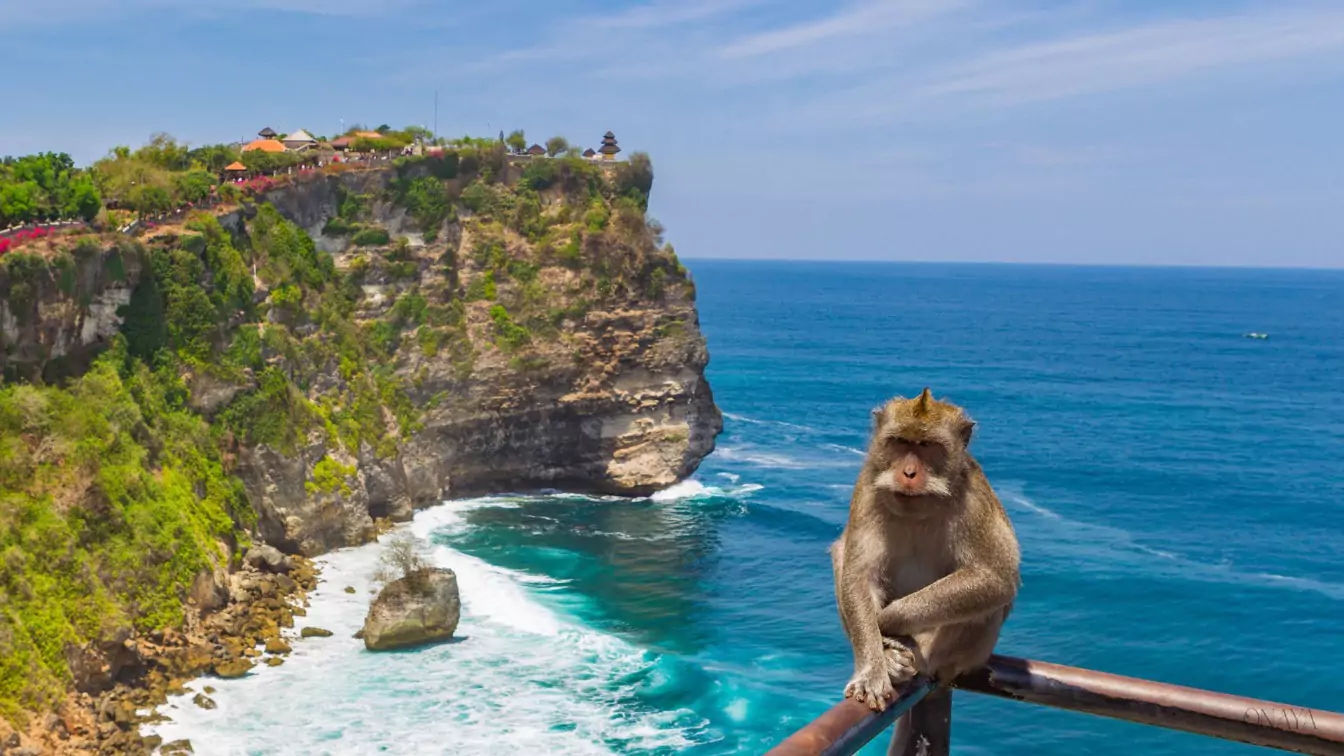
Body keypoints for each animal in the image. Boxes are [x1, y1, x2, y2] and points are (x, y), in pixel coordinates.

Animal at [827, 387, 1016, 710]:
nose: (909, 473)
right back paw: (890, 659)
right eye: (900, 442)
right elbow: (859, 575)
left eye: (927, 446)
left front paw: (887, 620)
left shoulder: (973, 497)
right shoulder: (867, 485)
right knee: (842, 553)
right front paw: (872, 669)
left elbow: (995, 578)